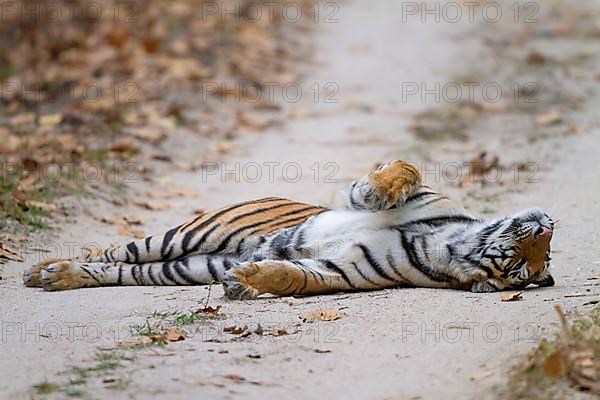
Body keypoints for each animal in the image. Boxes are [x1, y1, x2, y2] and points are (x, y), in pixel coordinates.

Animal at [24, 161, 556, 298]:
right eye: (532, 253)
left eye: (524, 268)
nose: (547, 221)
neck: (443, 243)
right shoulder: (412, 193)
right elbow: (405, 170)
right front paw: (382, 189)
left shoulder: (342, 271)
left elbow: (296, 274)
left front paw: (250, 281)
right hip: (189, 234)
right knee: (117, 251)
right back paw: (45, 269)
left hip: (189, 266)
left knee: (124, 271)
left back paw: (57, 276)